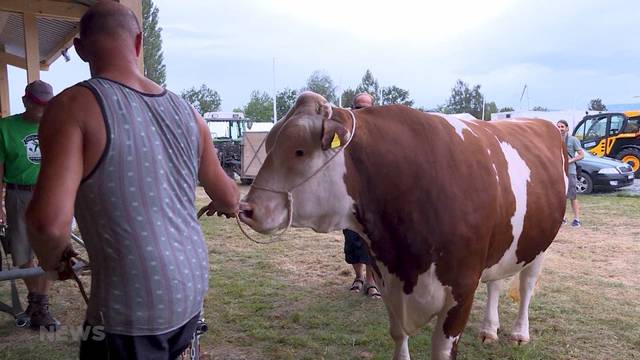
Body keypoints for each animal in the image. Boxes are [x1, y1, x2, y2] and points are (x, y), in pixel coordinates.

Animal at [239, 91, 564, 358]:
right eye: (269, 144)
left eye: (299, 150)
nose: (247, 208)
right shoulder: (387, 279)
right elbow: (398, 334)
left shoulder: (461, 289)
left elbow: (442, 349)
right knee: (496, 281)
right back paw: (488, 330)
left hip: (541, 243)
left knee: (527, 284)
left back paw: (519, 333)